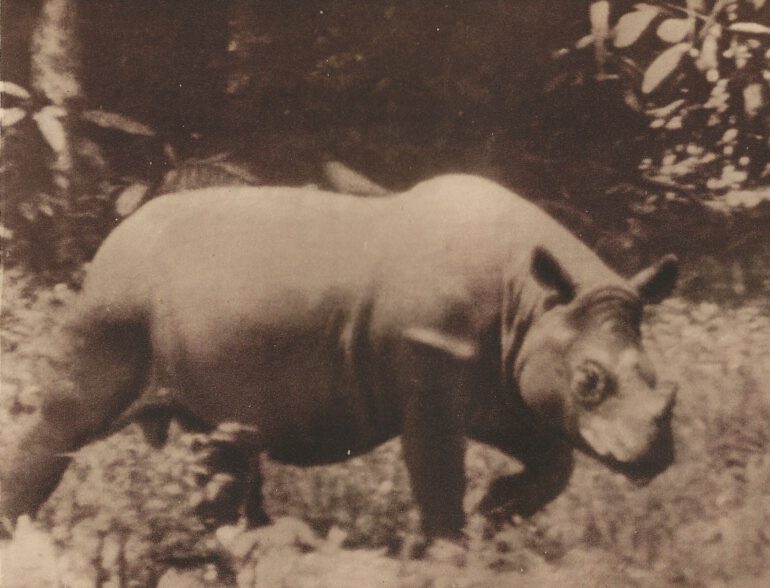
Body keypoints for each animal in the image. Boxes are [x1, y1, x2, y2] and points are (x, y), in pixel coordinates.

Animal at [0, 174, 678, 540]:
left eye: (663, 383)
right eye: (589, 381)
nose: (657, 456)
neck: (533, 302)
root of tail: (114, 235)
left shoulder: (505, 381)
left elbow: (553, 461)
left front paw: (495, 512)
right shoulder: (429, 377)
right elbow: (438, 477)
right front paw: (453, 550)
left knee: (219, 444)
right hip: (117, 301)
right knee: (67, 421)